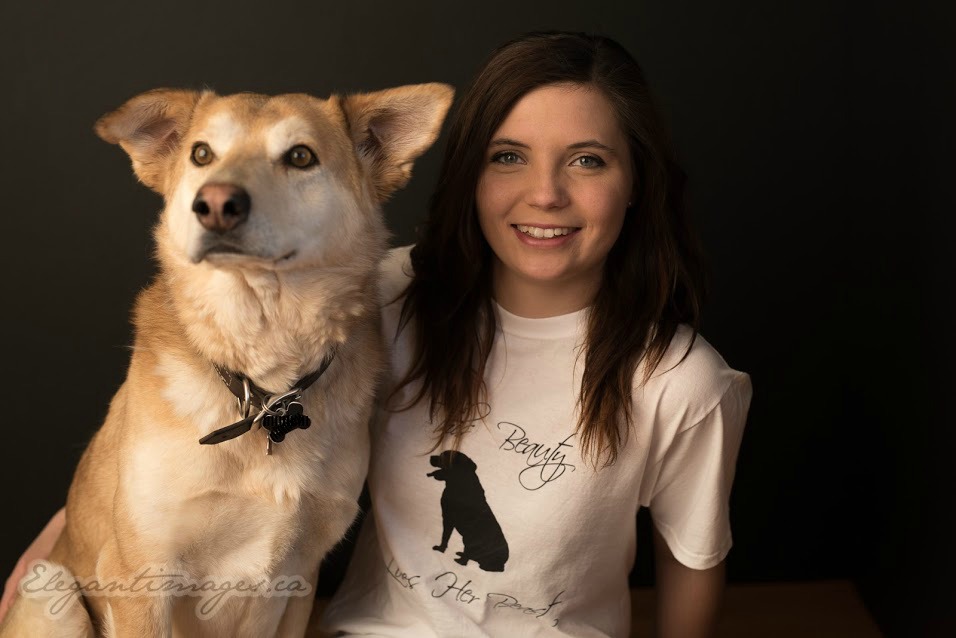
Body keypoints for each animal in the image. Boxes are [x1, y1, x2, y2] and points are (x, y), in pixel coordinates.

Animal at [0, 85, 452, 638]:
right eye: (201, 154)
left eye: (300, 156)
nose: (215, 204)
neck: (263, 388)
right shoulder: (139, 576)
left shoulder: (300, 578)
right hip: (52, 588)